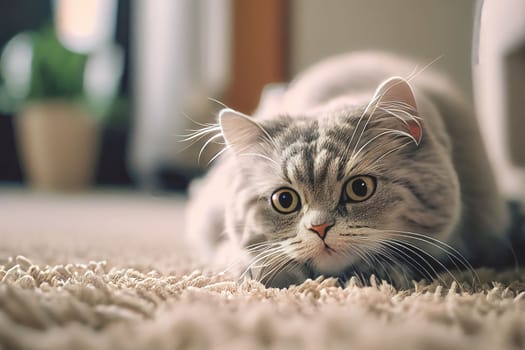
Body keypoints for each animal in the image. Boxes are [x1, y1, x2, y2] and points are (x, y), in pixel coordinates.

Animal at [183, 51, 508, 288]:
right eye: (284, 200)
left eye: (360, 188)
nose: (320, 228)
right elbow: (237, 253)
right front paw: (263, 271)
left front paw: (378, 273)